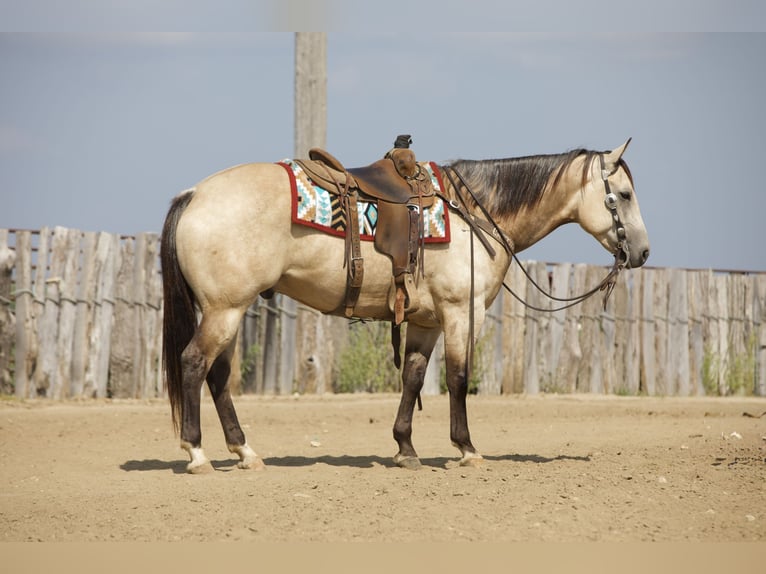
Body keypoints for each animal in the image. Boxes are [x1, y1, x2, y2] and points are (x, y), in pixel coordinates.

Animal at [160, 138, 650, 473]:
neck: (474, 214)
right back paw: (197, 453)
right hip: (224, 310)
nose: (643, 253)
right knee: (194, 364)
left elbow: (413, 377)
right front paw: (467, 449)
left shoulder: (426, 321)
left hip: (229, 311)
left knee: (218, 376)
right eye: (624, 195)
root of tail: (194, 195)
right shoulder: (461, 313)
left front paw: (405, 449)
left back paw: (245, 451)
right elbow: (458, 378)